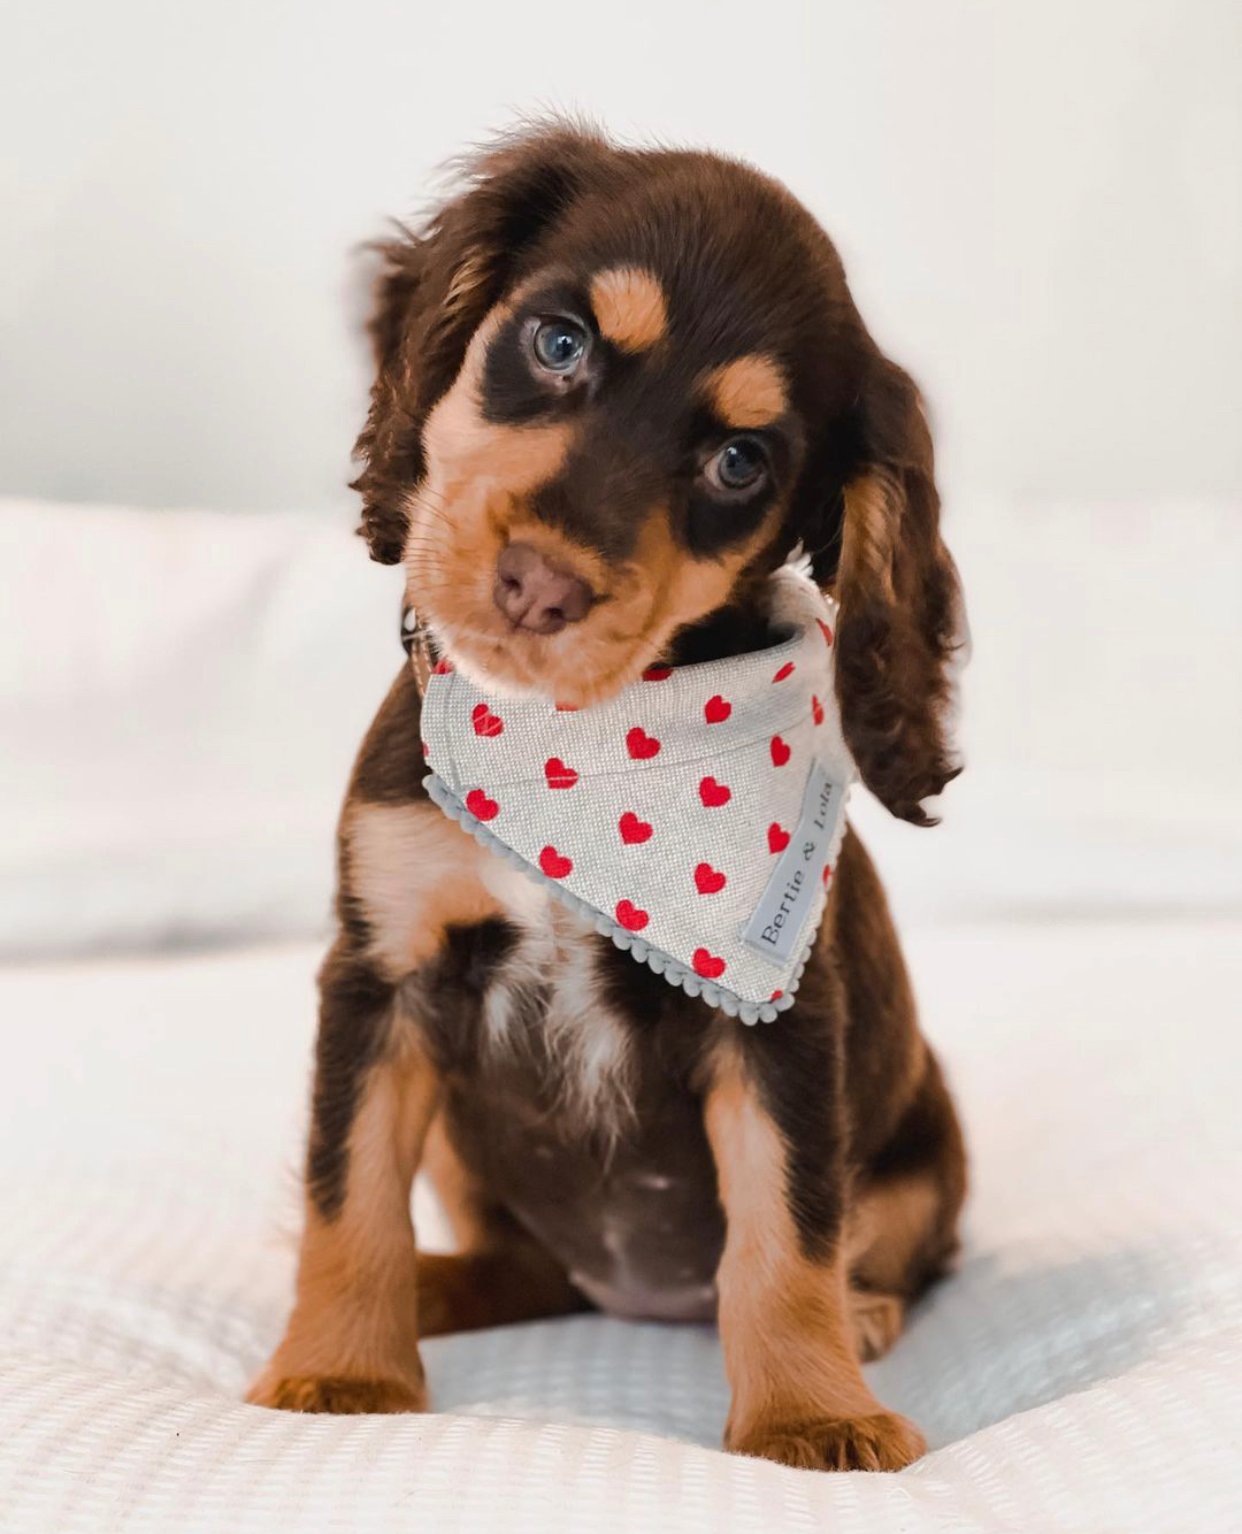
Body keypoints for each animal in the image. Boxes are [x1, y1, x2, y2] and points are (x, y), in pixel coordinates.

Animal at [249, 122, 969, 1472]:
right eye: (558, 342)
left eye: (739, 462)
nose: (538, 585)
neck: (580, 757)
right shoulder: (383, 973)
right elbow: (348, 1190)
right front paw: (340, 1369)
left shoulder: (782, 1030)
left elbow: (786, 1236)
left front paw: (811, 1408)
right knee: (516, 1262)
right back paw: (436, 1288)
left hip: (926, 1151)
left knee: (882, 1241)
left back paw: (864, 1309)